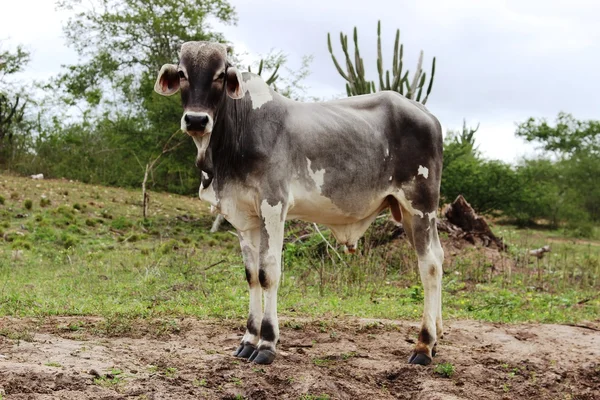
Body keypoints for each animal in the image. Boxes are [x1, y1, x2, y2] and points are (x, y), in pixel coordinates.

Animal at [155, 40, 446, 366]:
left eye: (219, 75)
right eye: (182, 73)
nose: (196, 120)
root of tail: (425, 113)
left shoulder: (273, 205)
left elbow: (268, 273)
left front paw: (267, 344)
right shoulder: (244, 216)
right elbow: (251, 276)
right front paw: (248, 340)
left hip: (420, 203)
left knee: (429, 266)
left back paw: (423, 345)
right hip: (407, 212)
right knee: (439, 257)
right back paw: (436, 337)